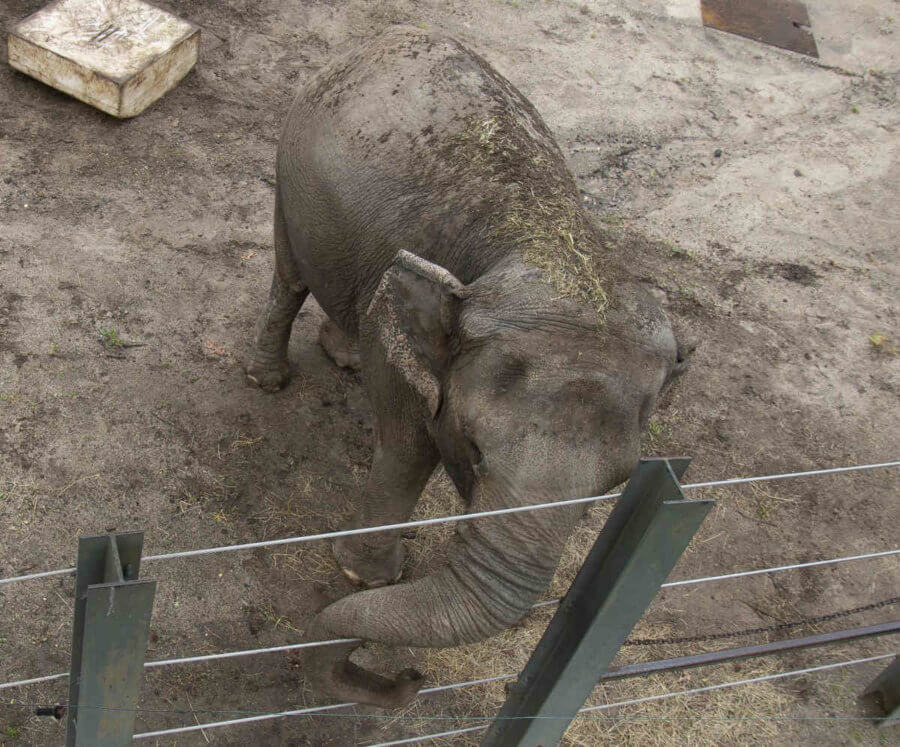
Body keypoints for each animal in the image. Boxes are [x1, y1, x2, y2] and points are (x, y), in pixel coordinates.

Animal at [245, 26, 691, 708]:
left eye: (614, 485)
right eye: (476, 451)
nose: (410, 678)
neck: (548, 244)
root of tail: (389, 36)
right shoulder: (403, 341)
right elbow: (407, 445)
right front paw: (367, 578)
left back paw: (343, 357)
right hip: (289, 168)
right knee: (289, 275)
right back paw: (267, 379)